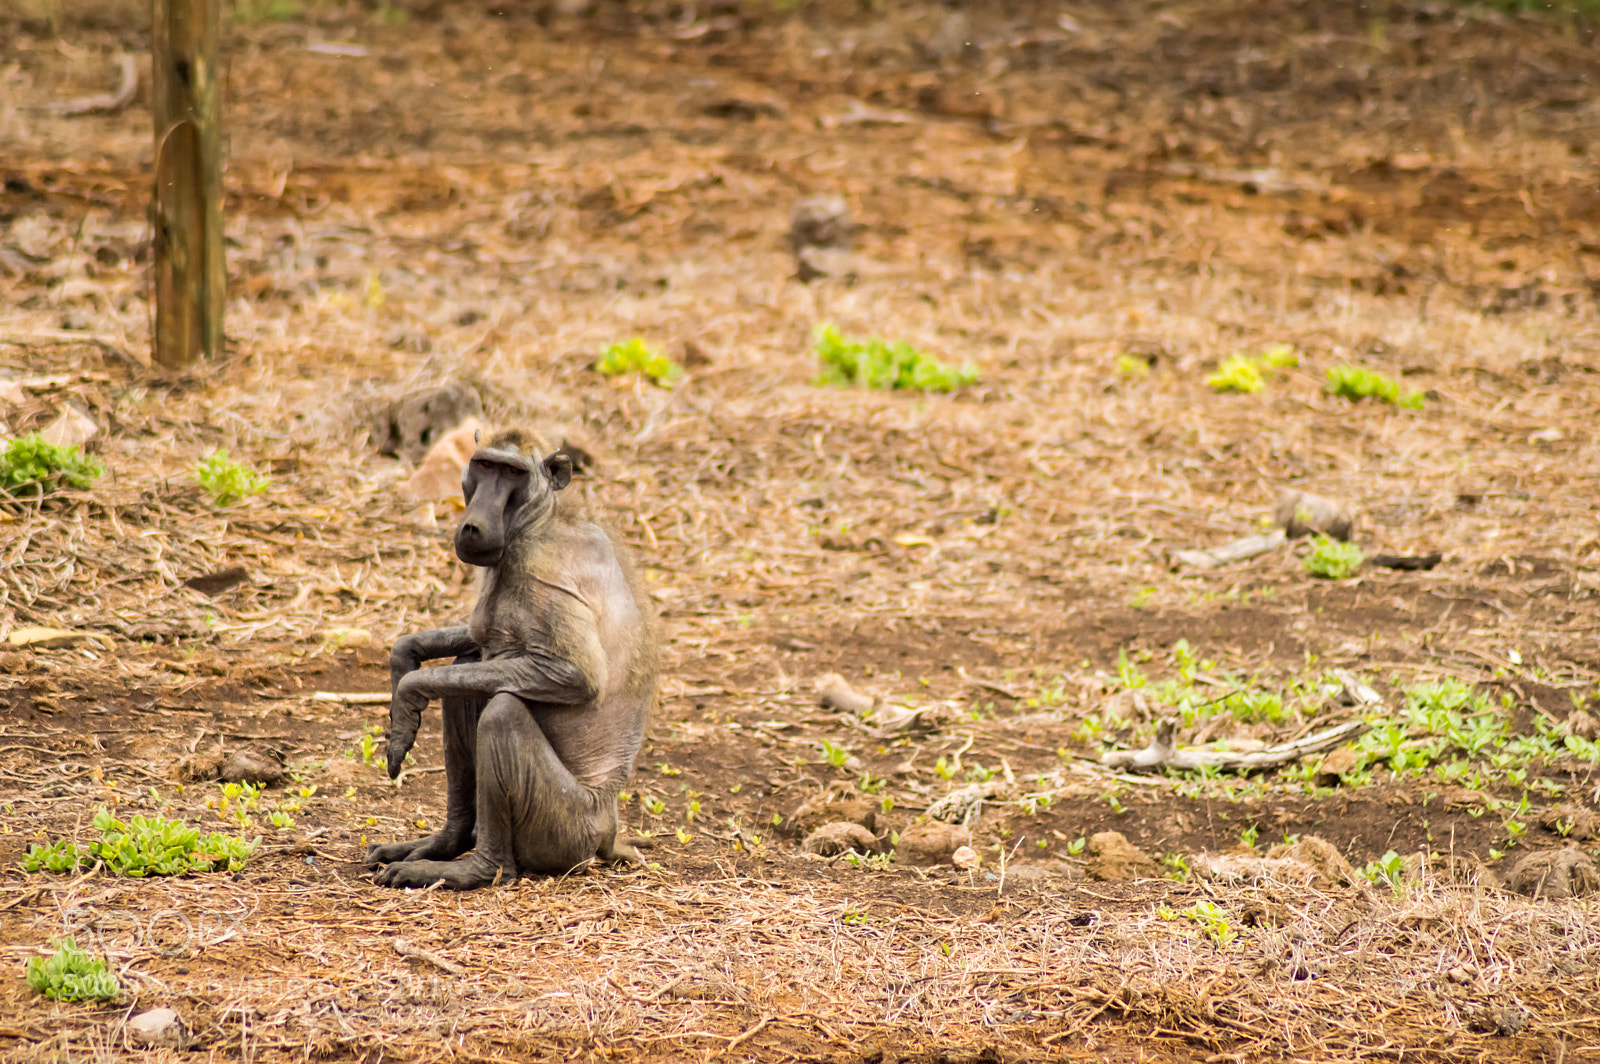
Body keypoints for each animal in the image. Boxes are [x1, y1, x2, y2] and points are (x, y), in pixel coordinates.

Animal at [365, 426, 657, 889]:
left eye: (514, 473)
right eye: (484, 465)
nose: (473, 525)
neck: (543, 516)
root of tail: (608, 829)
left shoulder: (537, 566)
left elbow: (577, 676)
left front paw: (407, 699)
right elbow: (471, 642)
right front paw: (405, 654)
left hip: (564, 827)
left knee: (501, 709)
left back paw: (481, 868)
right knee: (468, 678)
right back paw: (446, 843)